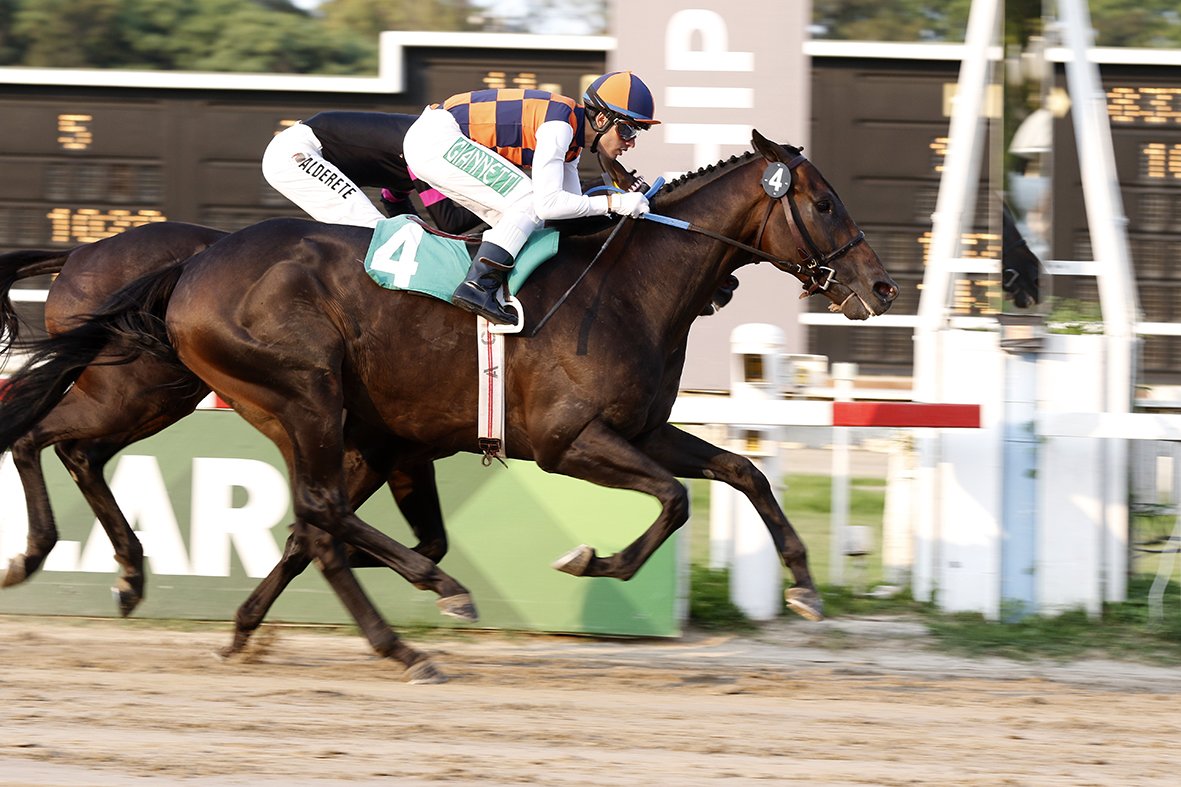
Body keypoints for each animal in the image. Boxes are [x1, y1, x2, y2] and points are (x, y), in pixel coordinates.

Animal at [0, 130, 898, 632]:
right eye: (822, 202)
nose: (883, 286)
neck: (626, 282)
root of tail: (188, 266)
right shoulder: (569, 440)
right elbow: (675, 500)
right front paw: (589, 560)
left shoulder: (635, 429)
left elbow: (743, 470)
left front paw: (805, 587)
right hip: (274, 395)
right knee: (55, 437)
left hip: (182, 392)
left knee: (73, 444)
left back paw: (113, 569)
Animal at [0, 223, 462, 682]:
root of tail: (81, 252)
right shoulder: (373, 444)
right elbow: (331, 528)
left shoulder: (406, 453)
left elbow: (429, 540)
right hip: (157, 388)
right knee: (36, 437)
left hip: (154, 395)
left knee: (74, 451)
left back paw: (124, 574)